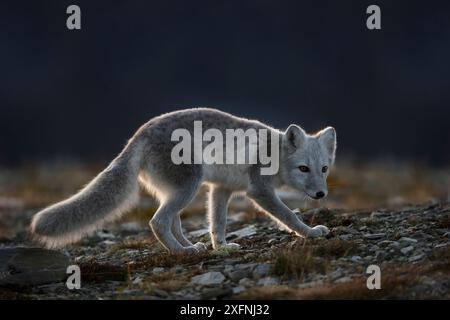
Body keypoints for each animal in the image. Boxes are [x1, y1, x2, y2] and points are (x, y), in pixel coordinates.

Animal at [29, 109, 336, 254]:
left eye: (324, 169)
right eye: (303, 168)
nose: (321, 194)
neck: (275, 153)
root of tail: (138, 136)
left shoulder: (221, 189)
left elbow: (217, 223)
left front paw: (221, 248)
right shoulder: (259, 191)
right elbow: (288, 215)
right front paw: (311, 233)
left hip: (179, 191)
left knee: (172, 221)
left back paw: (191, 247)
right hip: (188, 187)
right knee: (158, 222)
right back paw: (181, 252)